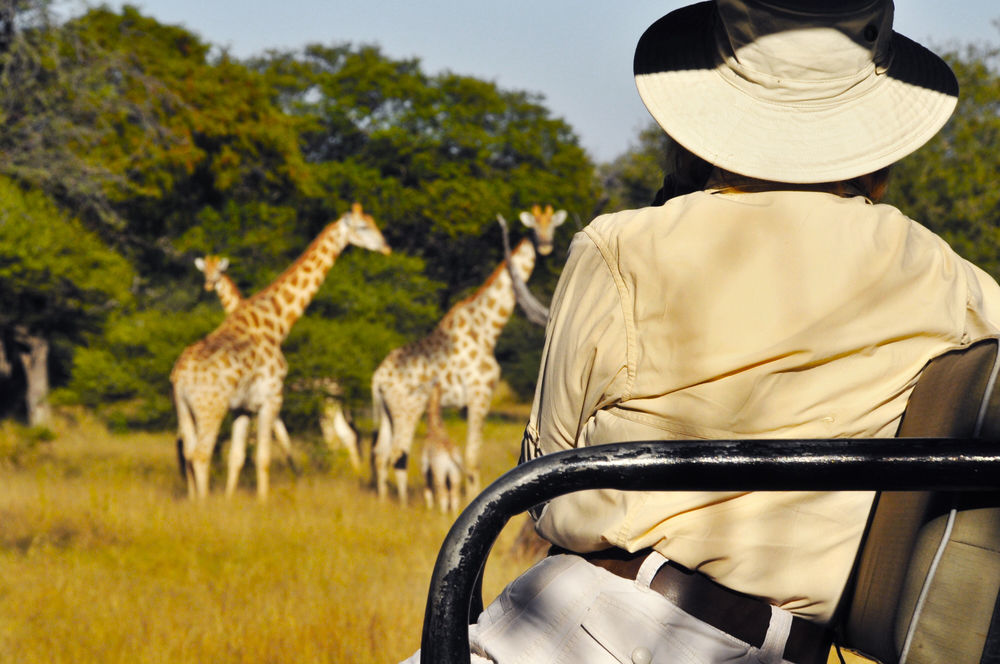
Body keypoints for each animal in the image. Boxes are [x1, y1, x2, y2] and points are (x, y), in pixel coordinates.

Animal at [172, 202, 390, 498]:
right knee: (198, 453)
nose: (386, 247)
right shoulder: (270, 397)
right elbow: (261, 453)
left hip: (189, 408)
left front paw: (232, 499)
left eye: (372, 223)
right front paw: (262, 499)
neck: (275, 323)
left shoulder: (251, 405)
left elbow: (240, 455)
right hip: (211, 407)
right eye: (364, 226)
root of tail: (181, 377)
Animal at [420, 378, 462, 512]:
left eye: (426, 385)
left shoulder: (425, 467)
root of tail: (449, 451)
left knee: (443, 495)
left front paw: (429, 510)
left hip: (440, 472)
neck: (434, 427)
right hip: (455, 474)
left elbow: (428, 492)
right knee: (454, 496)